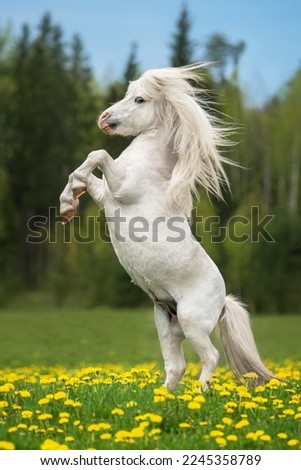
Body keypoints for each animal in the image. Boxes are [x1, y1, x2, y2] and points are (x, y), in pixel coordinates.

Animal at [58, 65, 272, 390]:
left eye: (139, 99)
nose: (104, 118)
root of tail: (223, 301)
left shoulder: (120, 187)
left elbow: (98, 155)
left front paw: (70, 201)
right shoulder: (106, 194)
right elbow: (82, 172)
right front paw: (67, 206)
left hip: (192, 322)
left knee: (210, 357)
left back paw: (199, 393)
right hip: (167, 324)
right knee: (176, 366)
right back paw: (164, 397)